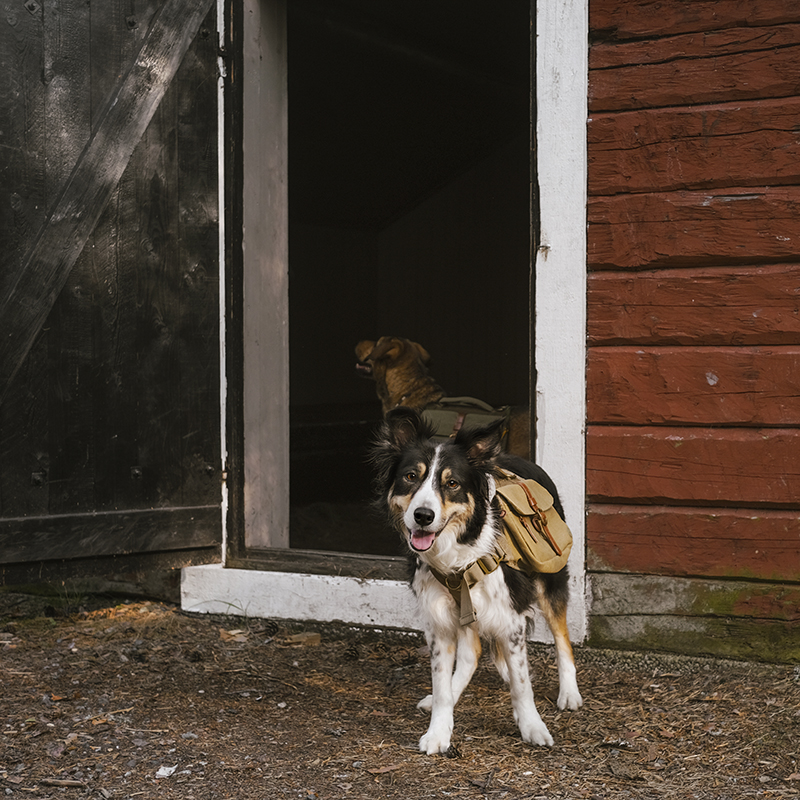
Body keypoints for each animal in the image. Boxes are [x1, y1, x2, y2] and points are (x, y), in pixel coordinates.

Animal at [372, 410, 584, 752]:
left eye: (452, 483)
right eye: (410, 477)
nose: (423, 516)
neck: (458, 552)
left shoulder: (511, 619)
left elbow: (523, 684)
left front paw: (532, 726)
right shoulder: (439, 621)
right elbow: (443, 684)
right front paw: (439, 731)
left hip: (549, 581)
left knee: (562, 638)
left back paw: (569, 693)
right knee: (472, 653)